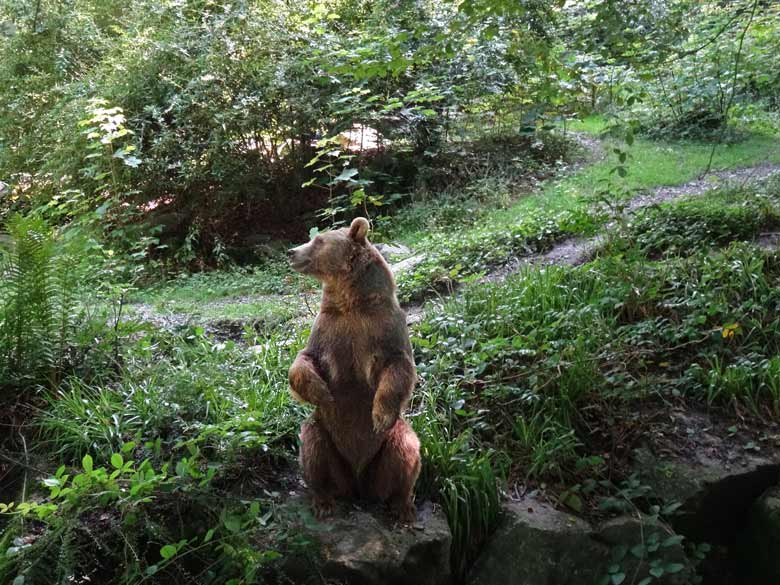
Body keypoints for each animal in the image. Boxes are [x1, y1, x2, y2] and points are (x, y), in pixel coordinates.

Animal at [286, 218, 420, 520]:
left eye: (319, 240)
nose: (292, 251)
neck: (352, 302)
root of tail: (359, 486)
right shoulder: (328, 328)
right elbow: (303, 361)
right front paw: (322, 392)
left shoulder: (384, 328)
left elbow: (398, 366)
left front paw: (379, 415)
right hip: (328, 439)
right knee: (313, 446)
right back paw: (323, 499)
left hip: (387, 448)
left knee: (406, 449)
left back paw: (401, 505)